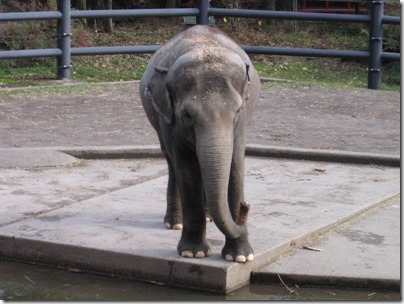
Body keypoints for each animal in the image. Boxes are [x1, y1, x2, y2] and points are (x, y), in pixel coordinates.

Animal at [139, 25, 260, 262]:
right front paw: (193, 253)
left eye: (237, 111)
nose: (246, 207)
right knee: (171, 163)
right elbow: (186, 169)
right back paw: (175, 223)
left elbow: (235, 165)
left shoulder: (241, 123)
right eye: (187, 115)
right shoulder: (170, 120)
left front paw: (240, 257)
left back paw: (208, 217)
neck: (204, 47)